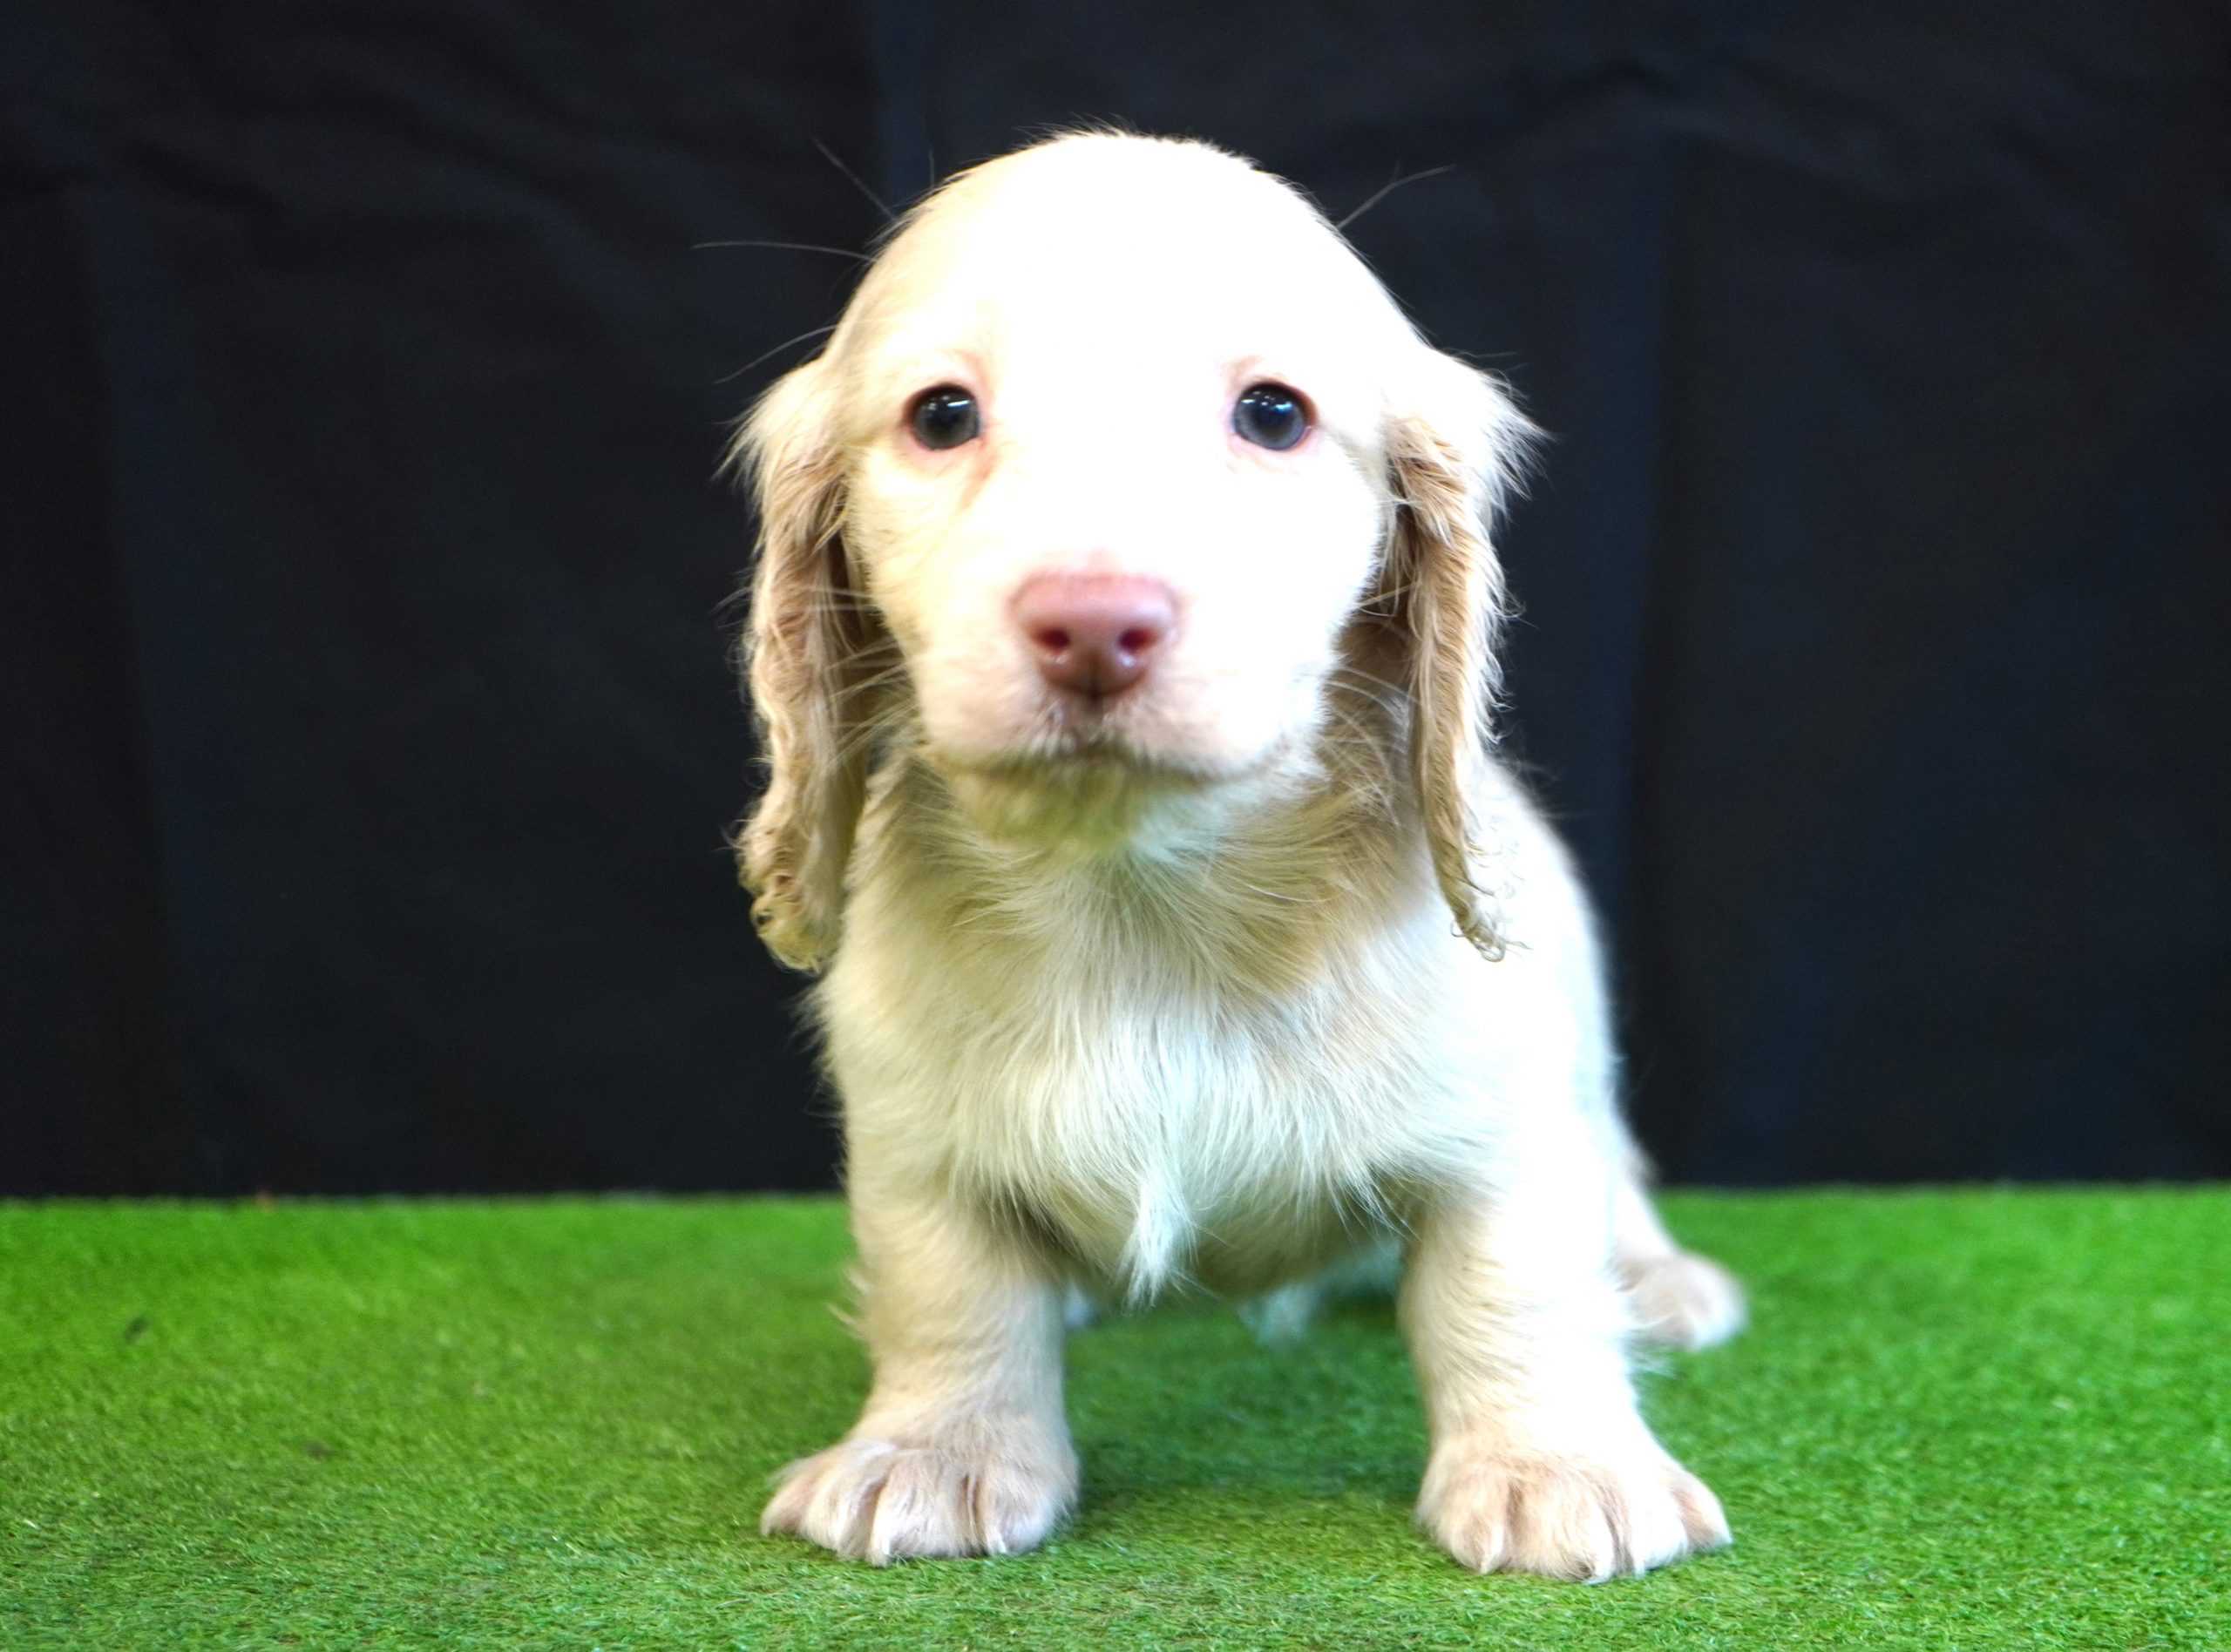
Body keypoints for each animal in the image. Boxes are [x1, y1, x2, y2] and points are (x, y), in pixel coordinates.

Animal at [734, 130, 1744, 1580]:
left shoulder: (1509, 1114)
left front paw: (1558, 1469)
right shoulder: (913, 1134)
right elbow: (951, 1287)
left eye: (1272, 414)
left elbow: (1516, 1285)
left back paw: (1658, 1279)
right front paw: (934, 1452)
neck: (1142, 892)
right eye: (941, 416)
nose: (1095, 624)